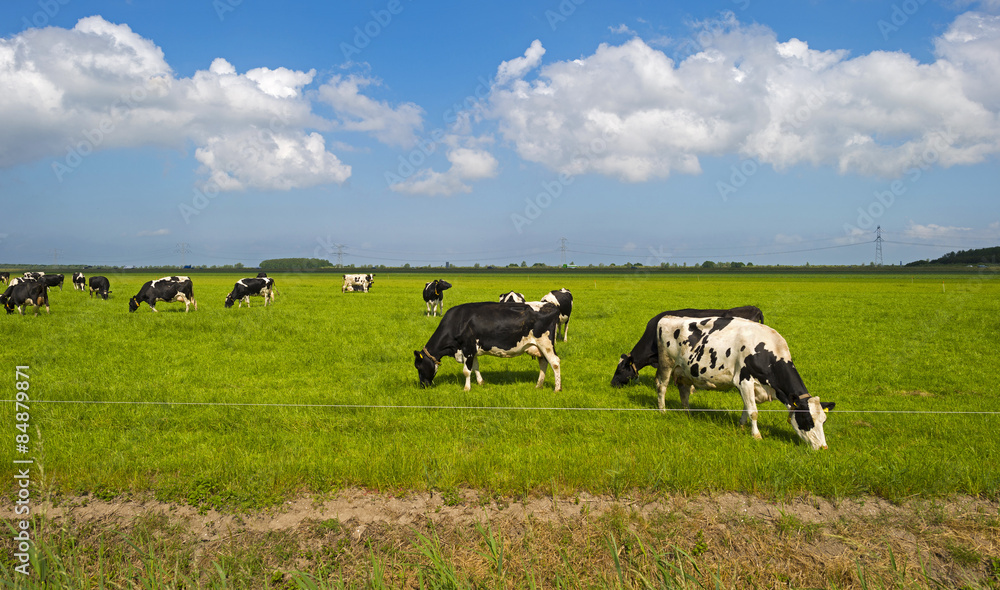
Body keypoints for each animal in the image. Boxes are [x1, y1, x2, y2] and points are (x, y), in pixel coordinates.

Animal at [412, 306, 564, 394]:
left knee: (555, 362)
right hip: (538, 347)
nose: (423, 386)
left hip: (546, 343)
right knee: (543, 362)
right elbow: (476, 366)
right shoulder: (472, 350)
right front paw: (481, 382)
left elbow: (466, 371)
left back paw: (557, 388)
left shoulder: (467, 348)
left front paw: (466, 388)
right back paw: (539, 385)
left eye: (418, 367)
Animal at [652, 316, 832, 450]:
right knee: (662, 387)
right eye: (808, 420)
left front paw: (741, 425)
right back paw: (663, 411)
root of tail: (667, 317)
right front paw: (756, 436)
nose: (823, 448)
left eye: (823, 420)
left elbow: (746, 406)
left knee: (684, 392)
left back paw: (688, 413)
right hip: (666, 365)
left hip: (685, 371)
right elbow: (753, 411)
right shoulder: (745, 380)